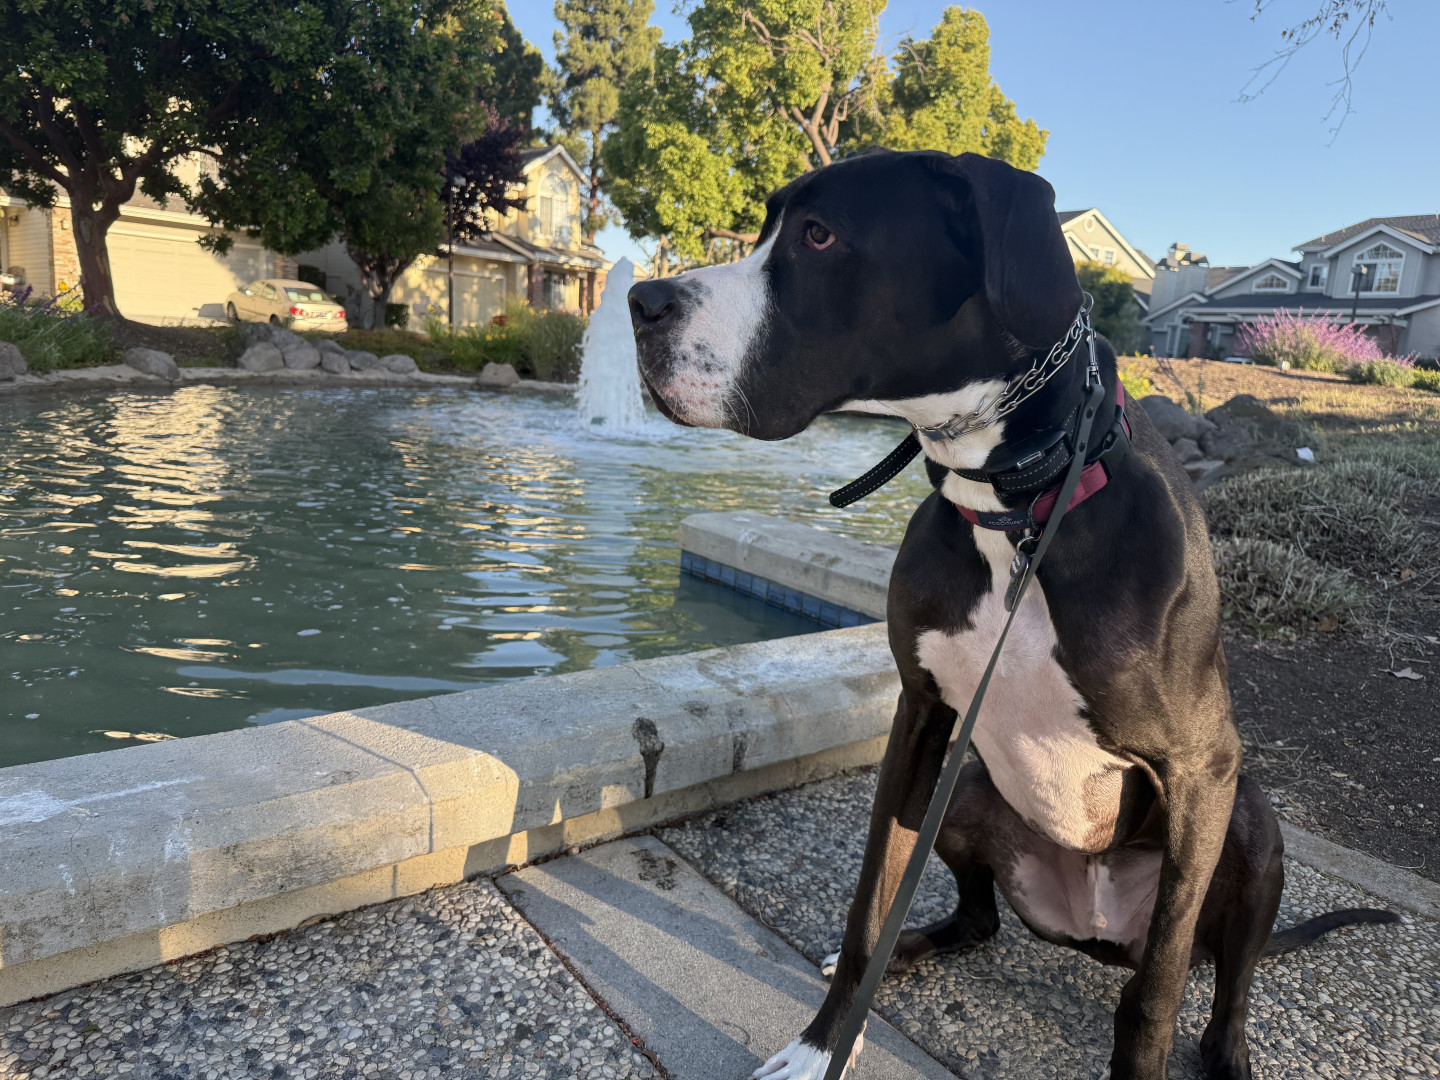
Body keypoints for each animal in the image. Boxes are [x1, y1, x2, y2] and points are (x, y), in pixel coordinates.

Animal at [627, 149, 1396, 1080]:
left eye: (818, 235)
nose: (640, 303)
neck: (1017, 505)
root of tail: (1097, 929)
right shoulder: (920, 718)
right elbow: (868, 903)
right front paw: (822, 1045)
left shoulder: (1201, 767)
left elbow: (1158, 995)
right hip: (964, 789)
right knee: (979, 917)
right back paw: (915, 947)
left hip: (1246, 825)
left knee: (1219, 981)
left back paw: (1227, 1052)